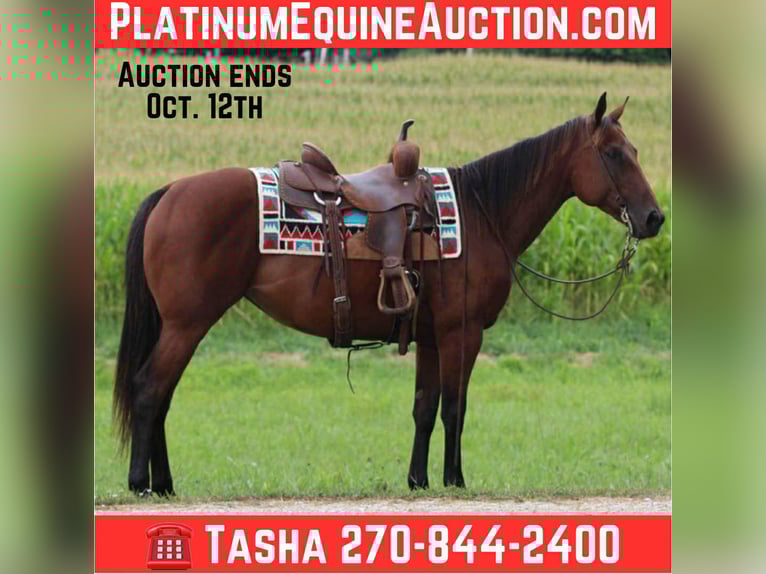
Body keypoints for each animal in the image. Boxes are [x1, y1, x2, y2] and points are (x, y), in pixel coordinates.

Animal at [113, 93, 665, 495]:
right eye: (614, 154)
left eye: (636, 152)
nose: (654, 217)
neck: (481, 211)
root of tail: (170, 191)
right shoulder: (462, 333)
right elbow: (455, 407)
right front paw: (455, 480)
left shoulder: (432, 336)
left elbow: (424, 407)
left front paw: (418, 480)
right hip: (187, 324)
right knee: (150, 389)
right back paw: (143, 483)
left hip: (180, 326)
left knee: (161, 396)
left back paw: (164, 483)